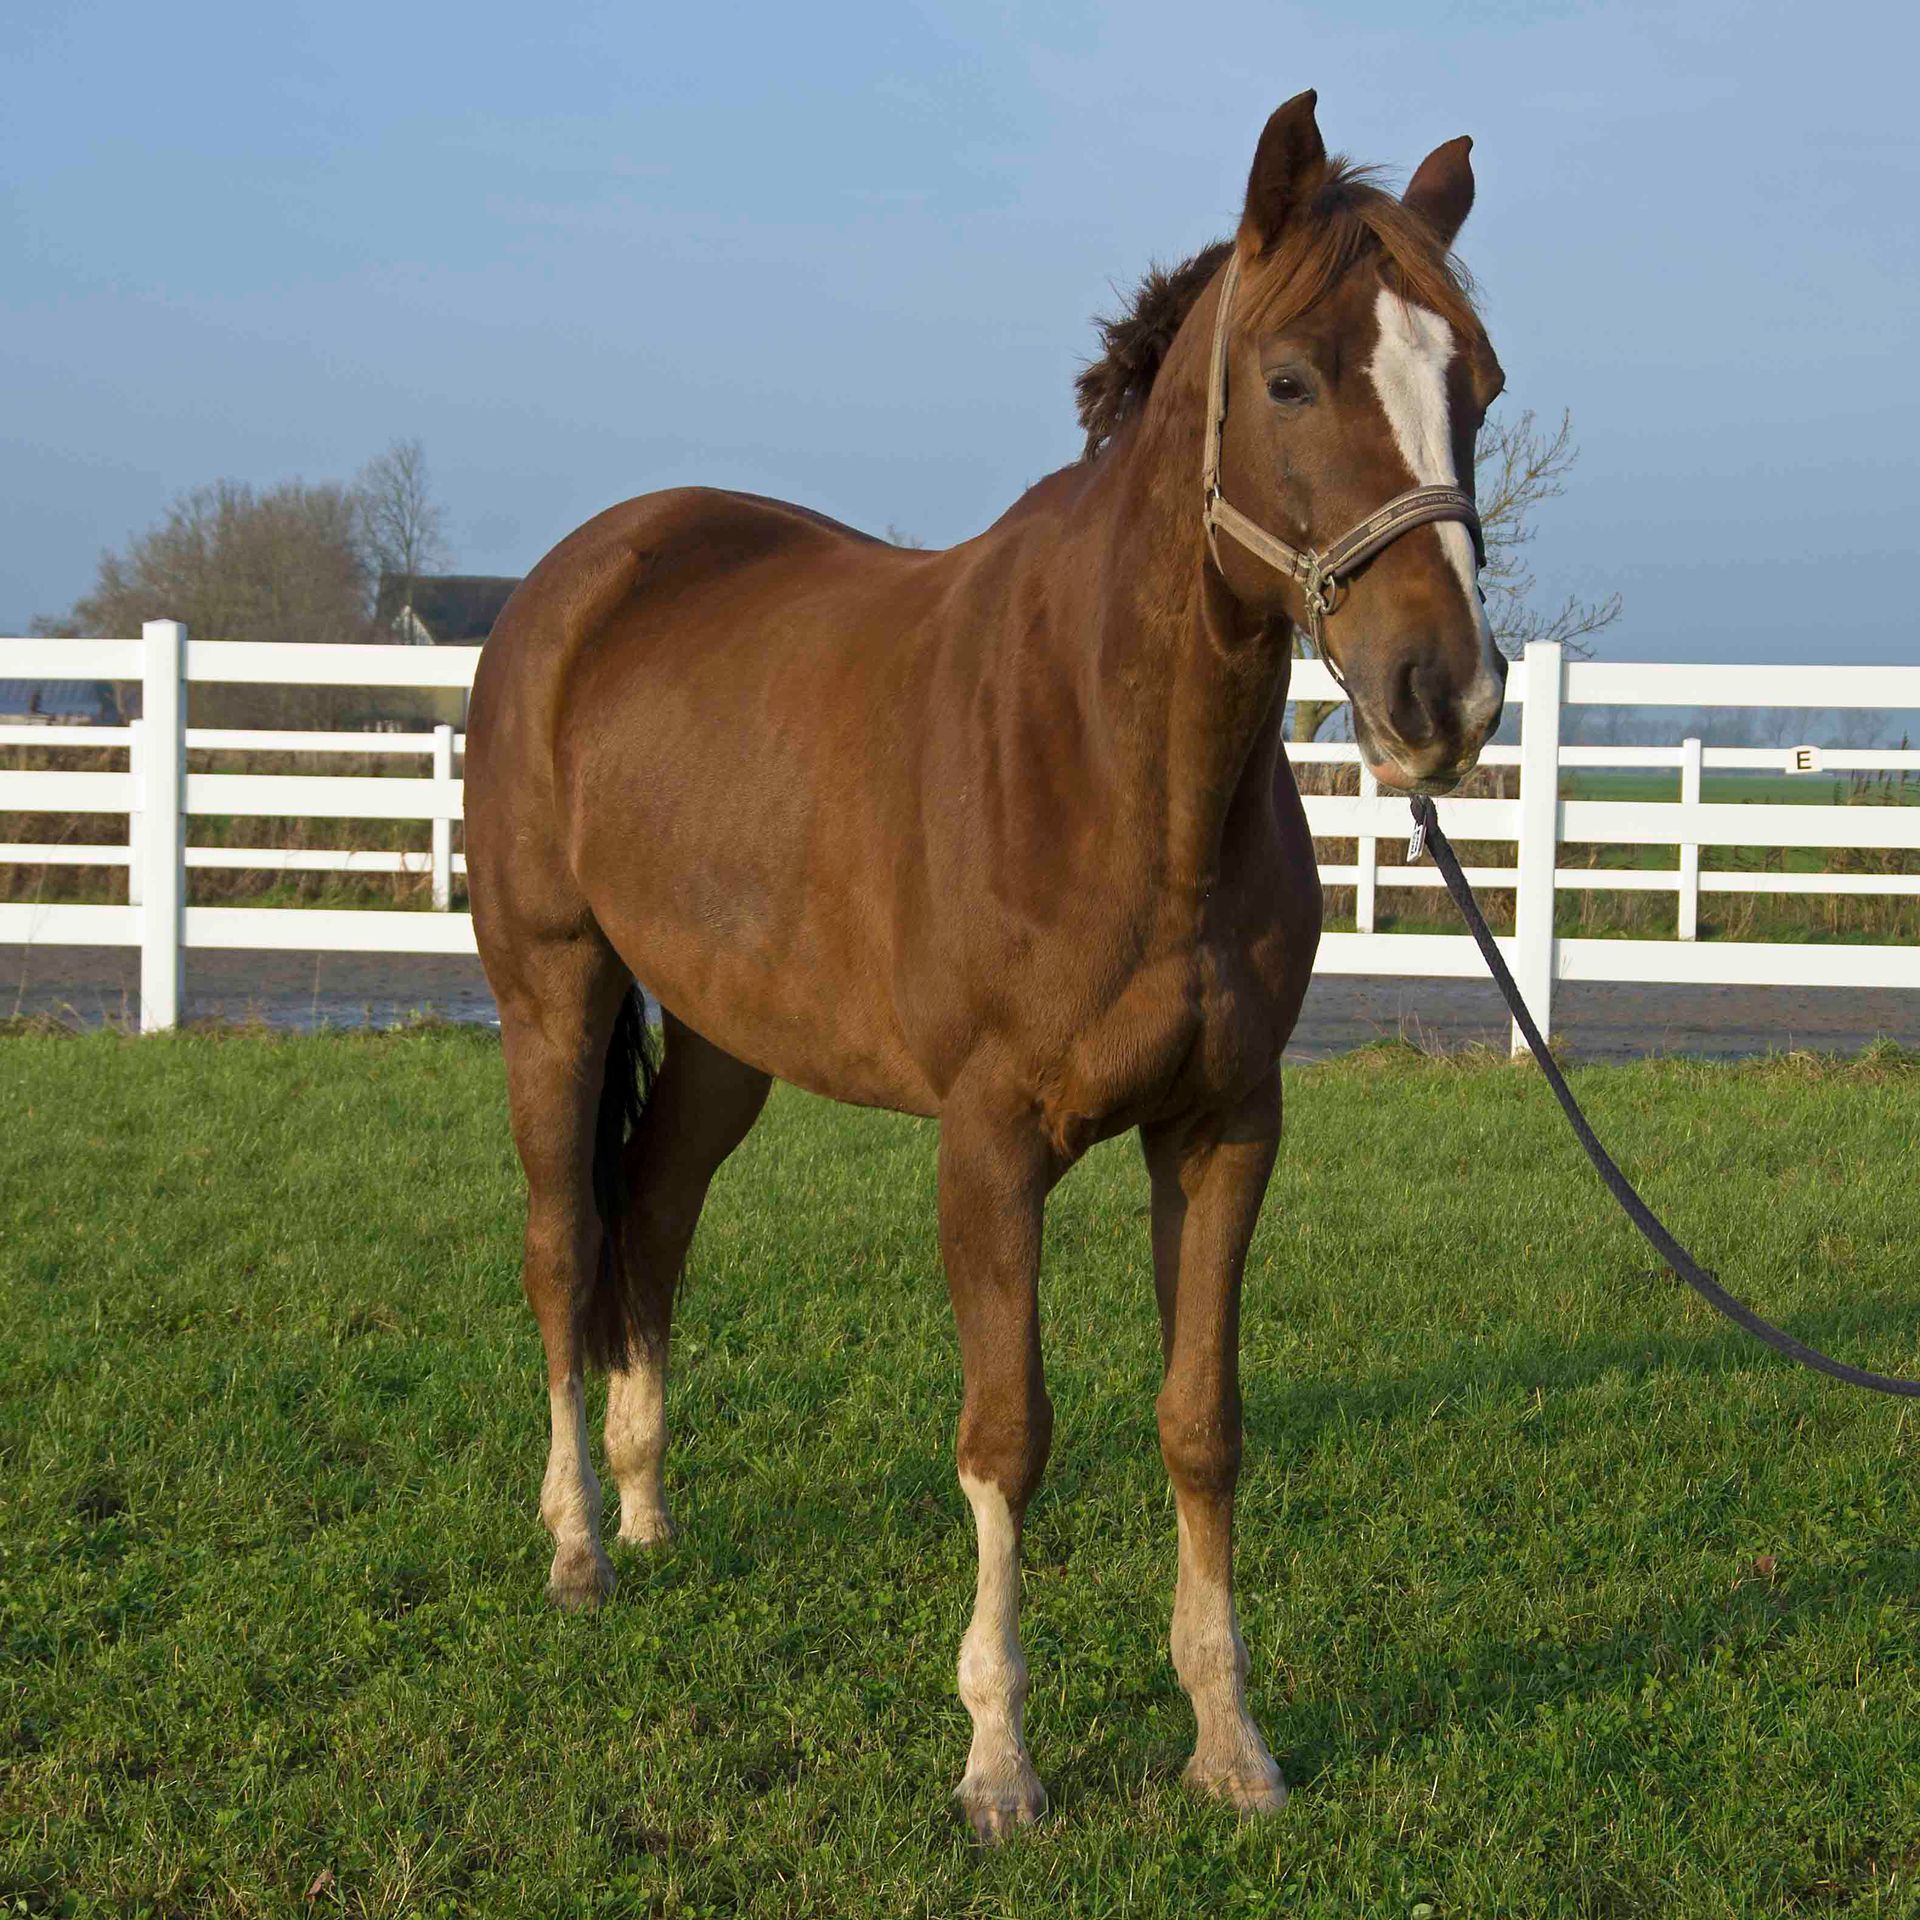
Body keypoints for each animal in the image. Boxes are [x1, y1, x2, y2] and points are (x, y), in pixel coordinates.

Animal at [464, 89, 1506, 1839]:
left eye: (1476, 387)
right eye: (1292, 378)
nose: (1446, 696)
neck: (1111, 759)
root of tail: (581, 577)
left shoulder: (1223, 1129)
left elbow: (1200, 1423)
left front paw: (1230, 1743)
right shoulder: (990, 1144)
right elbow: (1007, 1437)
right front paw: (999, 1762)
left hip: (733, 1043)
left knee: (654, 1228)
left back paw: (651, 1506)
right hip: (554, 995)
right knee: (563, 1247)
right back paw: (578, 1549)